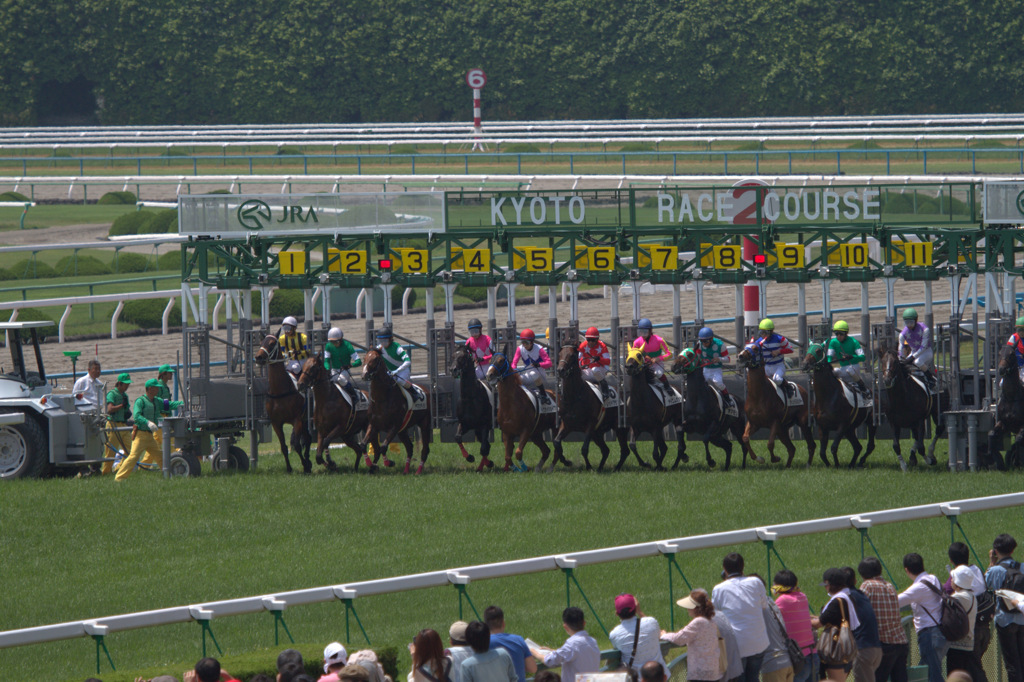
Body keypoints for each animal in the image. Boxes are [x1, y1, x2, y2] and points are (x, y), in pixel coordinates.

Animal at [252, 333, 311, 473]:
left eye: (272, 343)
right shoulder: (276, 423)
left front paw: (305, 465)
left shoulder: (297, 420)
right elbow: (283, 447)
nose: (258, 357)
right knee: (308, 438)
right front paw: (289, 468)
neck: (280, 389)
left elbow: (296, 445)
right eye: (262, 342)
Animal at [557, 342, 626, 471]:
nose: (560, 370)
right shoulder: (567, 424)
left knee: (625, 451)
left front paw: (589, 467)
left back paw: (616, 468)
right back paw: (600, 468)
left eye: (572, 356)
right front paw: (566, 461)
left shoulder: (590, 424)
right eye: (559, 354)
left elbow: (584, 449)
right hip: (597, 433)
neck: (574, 396)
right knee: (606, 450)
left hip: (619, 427)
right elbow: (556, 442)